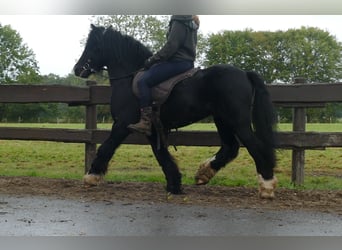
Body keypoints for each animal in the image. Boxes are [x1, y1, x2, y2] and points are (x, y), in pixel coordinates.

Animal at [73, 24, 276, 198]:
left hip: (237, 121)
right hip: (222, 119)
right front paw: (175, 185)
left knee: (255, 146)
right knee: (230, 147)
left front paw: (91, 177)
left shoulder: (122, 124)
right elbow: (162, 156)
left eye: (94, 46)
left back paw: (267, 186)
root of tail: (245, 73)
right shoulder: (152, 130)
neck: (129, 79)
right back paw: (203, 174)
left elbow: (107, 147)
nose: (77, 69)